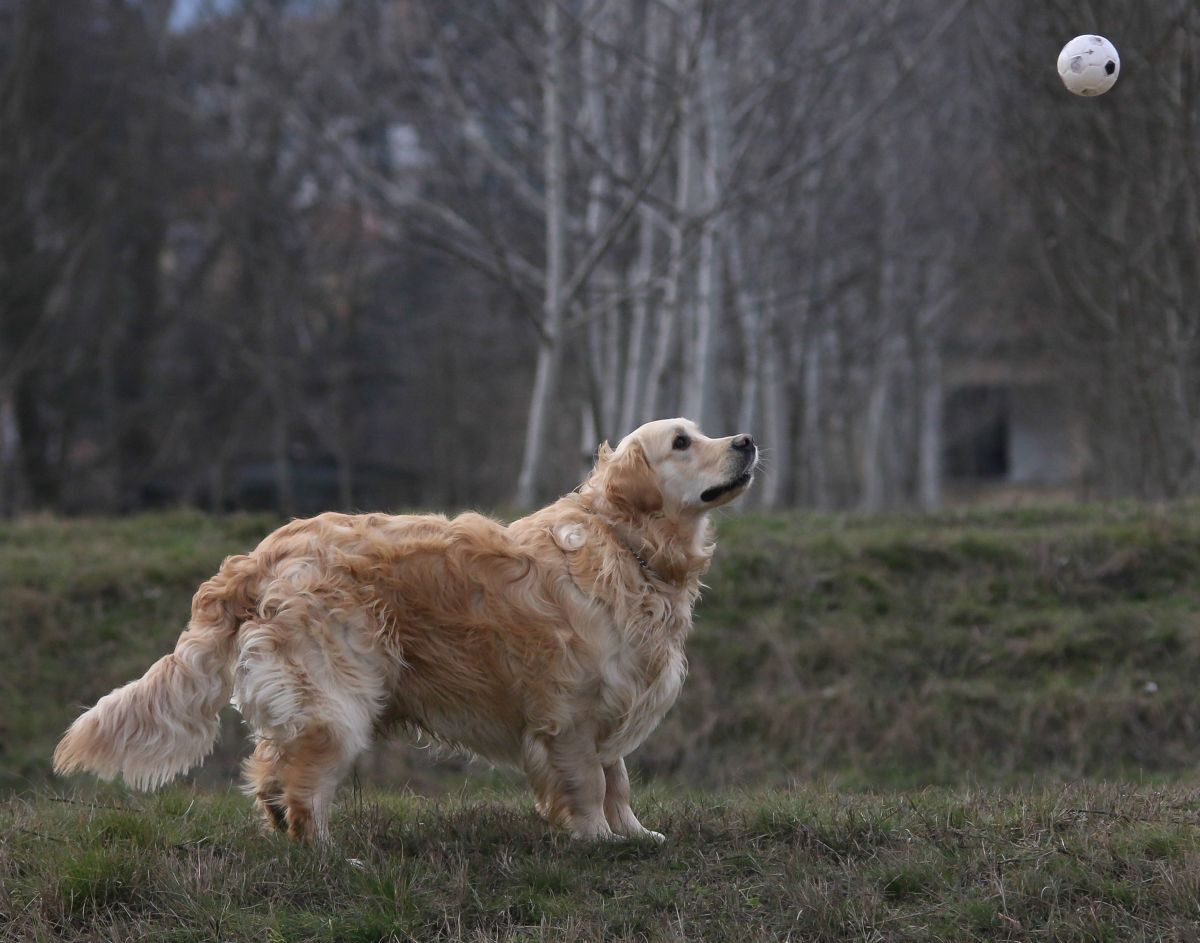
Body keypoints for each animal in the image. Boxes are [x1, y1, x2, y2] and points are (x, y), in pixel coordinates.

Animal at [54, 417, 758, 839]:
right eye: (682, 443)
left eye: (701, 433)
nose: (747, 440)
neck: (628, 545)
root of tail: (262, 555)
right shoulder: (569, 712)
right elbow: (587, 783)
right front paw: (595, 840)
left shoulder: (615, 702)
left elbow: (618, 779)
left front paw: (633, 835)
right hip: (337, 699)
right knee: (303, 787)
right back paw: (330, 858)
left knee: (272, 772)